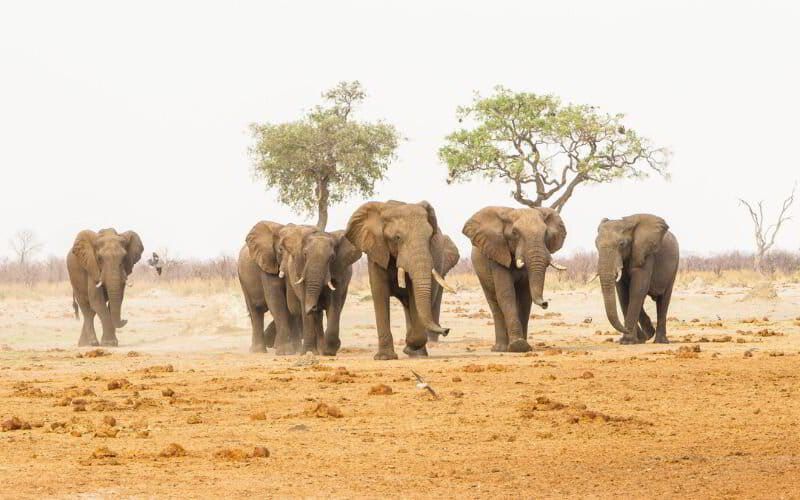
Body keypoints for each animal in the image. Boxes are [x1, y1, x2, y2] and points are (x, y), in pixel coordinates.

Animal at [237, 220, 300, 354]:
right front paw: (285, 352)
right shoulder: (267, 264)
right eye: (280, 249)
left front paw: (297, 350)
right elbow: (276, 302)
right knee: (255, 311)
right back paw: (257, 351)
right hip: (242, 280)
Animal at [278, 225, 362, 356]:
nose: (314, 306)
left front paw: (329, 351)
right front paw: (309, 352)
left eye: (332, 257)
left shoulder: (338, 272)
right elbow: (305, 305)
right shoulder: (300, 270)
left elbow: (334, 304)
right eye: (305, 254)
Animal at [345, 200, 460, 360]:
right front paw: (384, 358)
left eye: (429, 237)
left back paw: (418, 353)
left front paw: (409, 347)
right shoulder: (376, 250)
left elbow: (414, 296)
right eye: (397, 238)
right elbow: (379, 291)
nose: (446, 330)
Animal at [463, 206, 567, 352]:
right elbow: (506, 293)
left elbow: (525, 297)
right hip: (481, 273)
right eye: (514, 233)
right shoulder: (497, 253)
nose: (545, 303)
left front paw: (524, 347)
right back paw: (500, 348)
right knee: (494, 304)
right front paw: (518, 345)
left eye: (546, 233)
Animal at [595, 214, 679, 344]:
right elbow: (623, 294)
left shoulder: (645, 253)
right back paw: (647, 336)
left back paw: (659, 341)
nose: (626, 330)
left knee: (663, 300)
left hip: (673, 268)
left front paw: (627, 341)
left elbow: (637, 290)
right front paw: (635, 339)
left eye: (621, 244)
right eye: (596, 244)